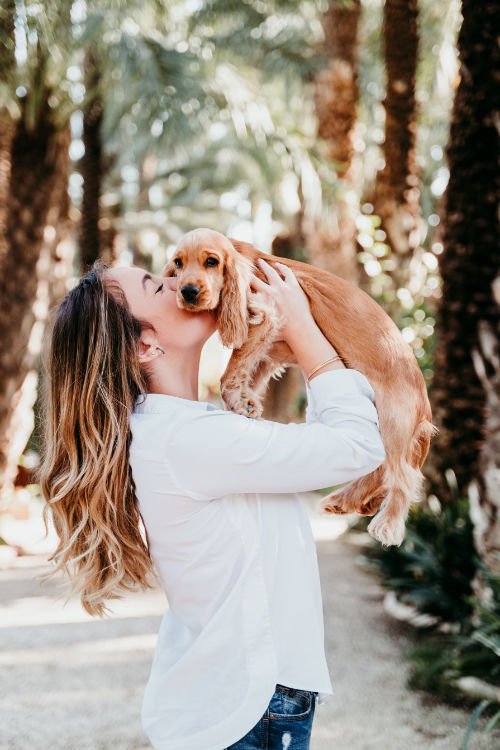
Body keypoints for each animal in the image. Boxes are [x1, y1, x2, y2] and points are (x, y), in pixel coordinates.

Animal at [164, 226, 438, 548]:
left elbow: (232, 367)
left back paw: (389, 523)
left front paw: (238, 399)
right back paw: (347, 501)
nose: (187, 292)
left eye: (211, 262)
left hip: (393, 418)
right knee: (380, 468)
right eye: (178, 263)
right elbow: (247, 370)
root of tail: (424, 405)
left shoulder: (265, 313)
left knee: (402, 473)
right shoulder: (271, 346)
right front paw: (244, 402)